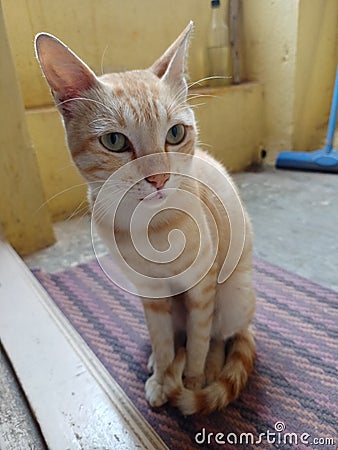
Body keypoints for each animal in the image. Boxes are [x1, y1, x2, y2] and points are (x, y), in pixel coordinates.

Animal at [35, 22, 256, 414]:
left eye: (175, 133)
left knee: (220, 335)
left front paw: (192, 380)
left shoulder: (202, 286)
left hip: (233, 295)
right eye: (113, 141)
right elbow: (163, 339)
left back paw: (210, 368)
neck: (150, 227)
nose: (159, 178)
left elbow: (200, 338)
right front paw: (163, 377)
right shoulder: (150, 294)